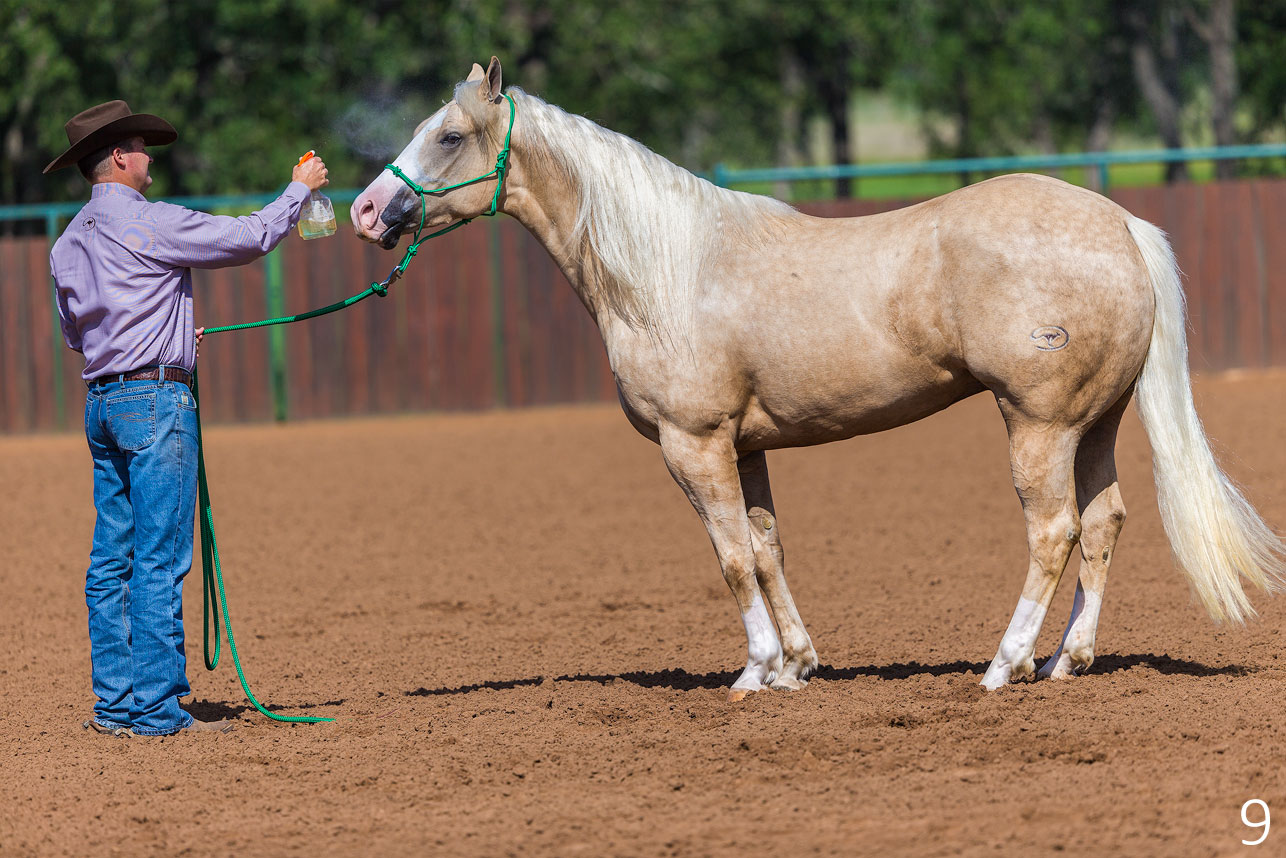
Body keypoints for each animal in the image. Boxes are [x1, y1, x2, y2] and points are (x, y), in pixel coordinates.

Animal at [351, 57, 1286, 699]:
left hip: (1040, 424)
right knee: (1103, 523)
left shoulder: (693, 445)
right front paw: (796, 665)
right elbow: (767, 549)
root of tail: (1119, 223)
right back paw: (1066, 660)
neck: (669, 270)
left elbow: (731, 557)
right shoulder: (745, 446)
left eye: (447, 136)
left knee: (1053, 532)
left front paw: (754, 671)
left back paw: (1005, 664)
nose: (365, 210)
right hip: (1095, 423)